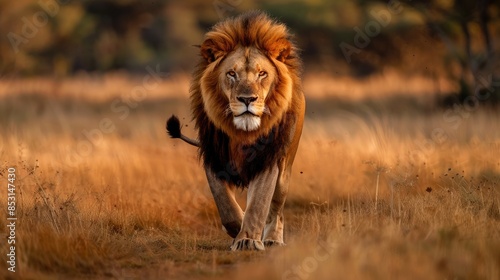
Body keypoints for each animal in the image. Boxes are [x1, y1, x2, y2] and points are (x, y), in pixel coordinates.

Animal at [166, 11, 304, 252]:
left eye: (262, 74)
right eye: (231, 73)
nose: (247, 99)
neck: (243, 133)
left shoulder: (267, 160)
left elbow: (259, 203)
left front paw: (248, 239)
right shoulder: (214, 157)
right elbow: (225, 204)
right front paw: (238, 229)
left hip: (285, 167)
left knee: (277, 208)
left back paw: (272, 239)